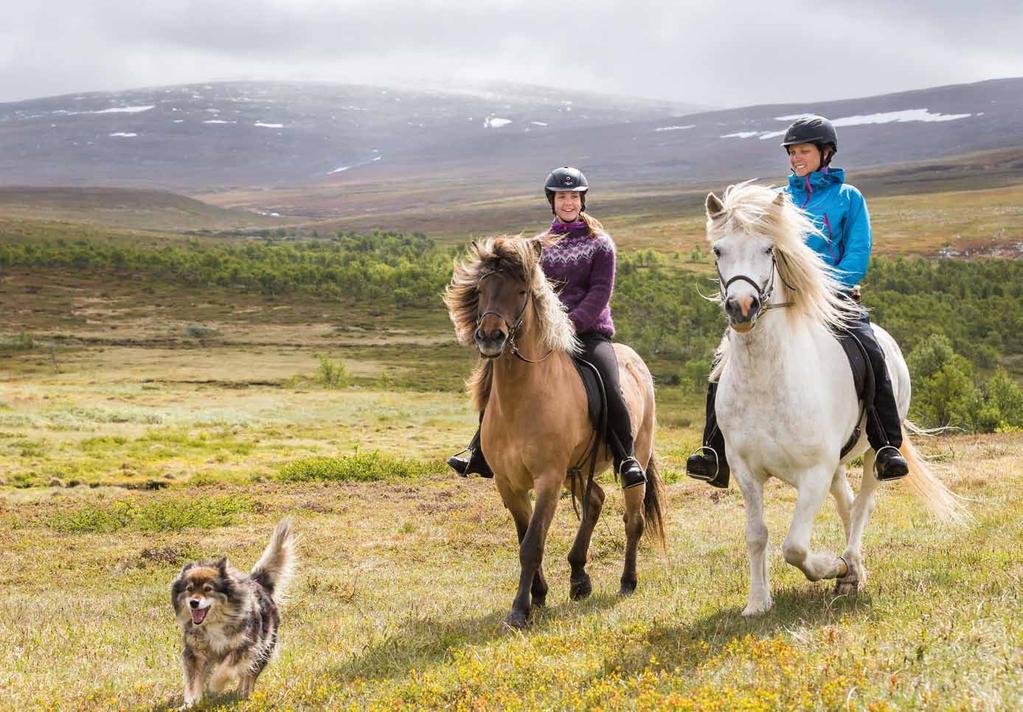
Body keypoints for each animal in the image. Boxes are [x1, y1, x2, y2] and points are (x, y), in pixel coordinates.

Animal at [170, 519, 296, 707]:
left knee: (249, 675)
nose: (194, 603)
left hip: (264, 648)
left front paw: (215, 686)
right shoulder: (195, 653)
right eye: (189, 589)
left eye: (208, 589)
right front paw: (190, 703)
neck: (214, 623)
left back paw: (244, 693)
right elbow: (193, 681)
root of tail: (258, 581)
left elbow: (226, 670)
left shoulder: (244, 646)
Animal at [443, 235, 666, 630]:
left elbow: (532, 543)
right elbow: (523, 536)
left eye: (521, 290)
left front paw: (520, 609)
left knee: (633, 520)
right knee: (595, 500)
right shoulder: (508, 483)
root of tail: (637, 362)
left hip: (632, 458)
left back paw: (627, 582)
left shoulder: (547, 477)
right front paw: (539, 594)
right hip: (576, 470)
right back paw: (579, 578)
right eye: (481, 290)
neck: (522, 398)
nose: (490, 337)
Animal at [703, 185, 965, 617]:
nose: (742, 308)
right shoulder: (745, 471)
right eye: (718, 250)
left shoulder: (814, 473)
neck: (768, 379)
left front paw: (834, 566)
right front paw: (758, 602)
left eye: (769, 249)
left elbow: (794, 547)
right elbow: (757, 534)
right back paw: (851, 571)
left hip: (873, 454)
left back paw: (851, 566)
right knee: (846, 505)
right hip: (838, 463)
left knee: (863, 506)